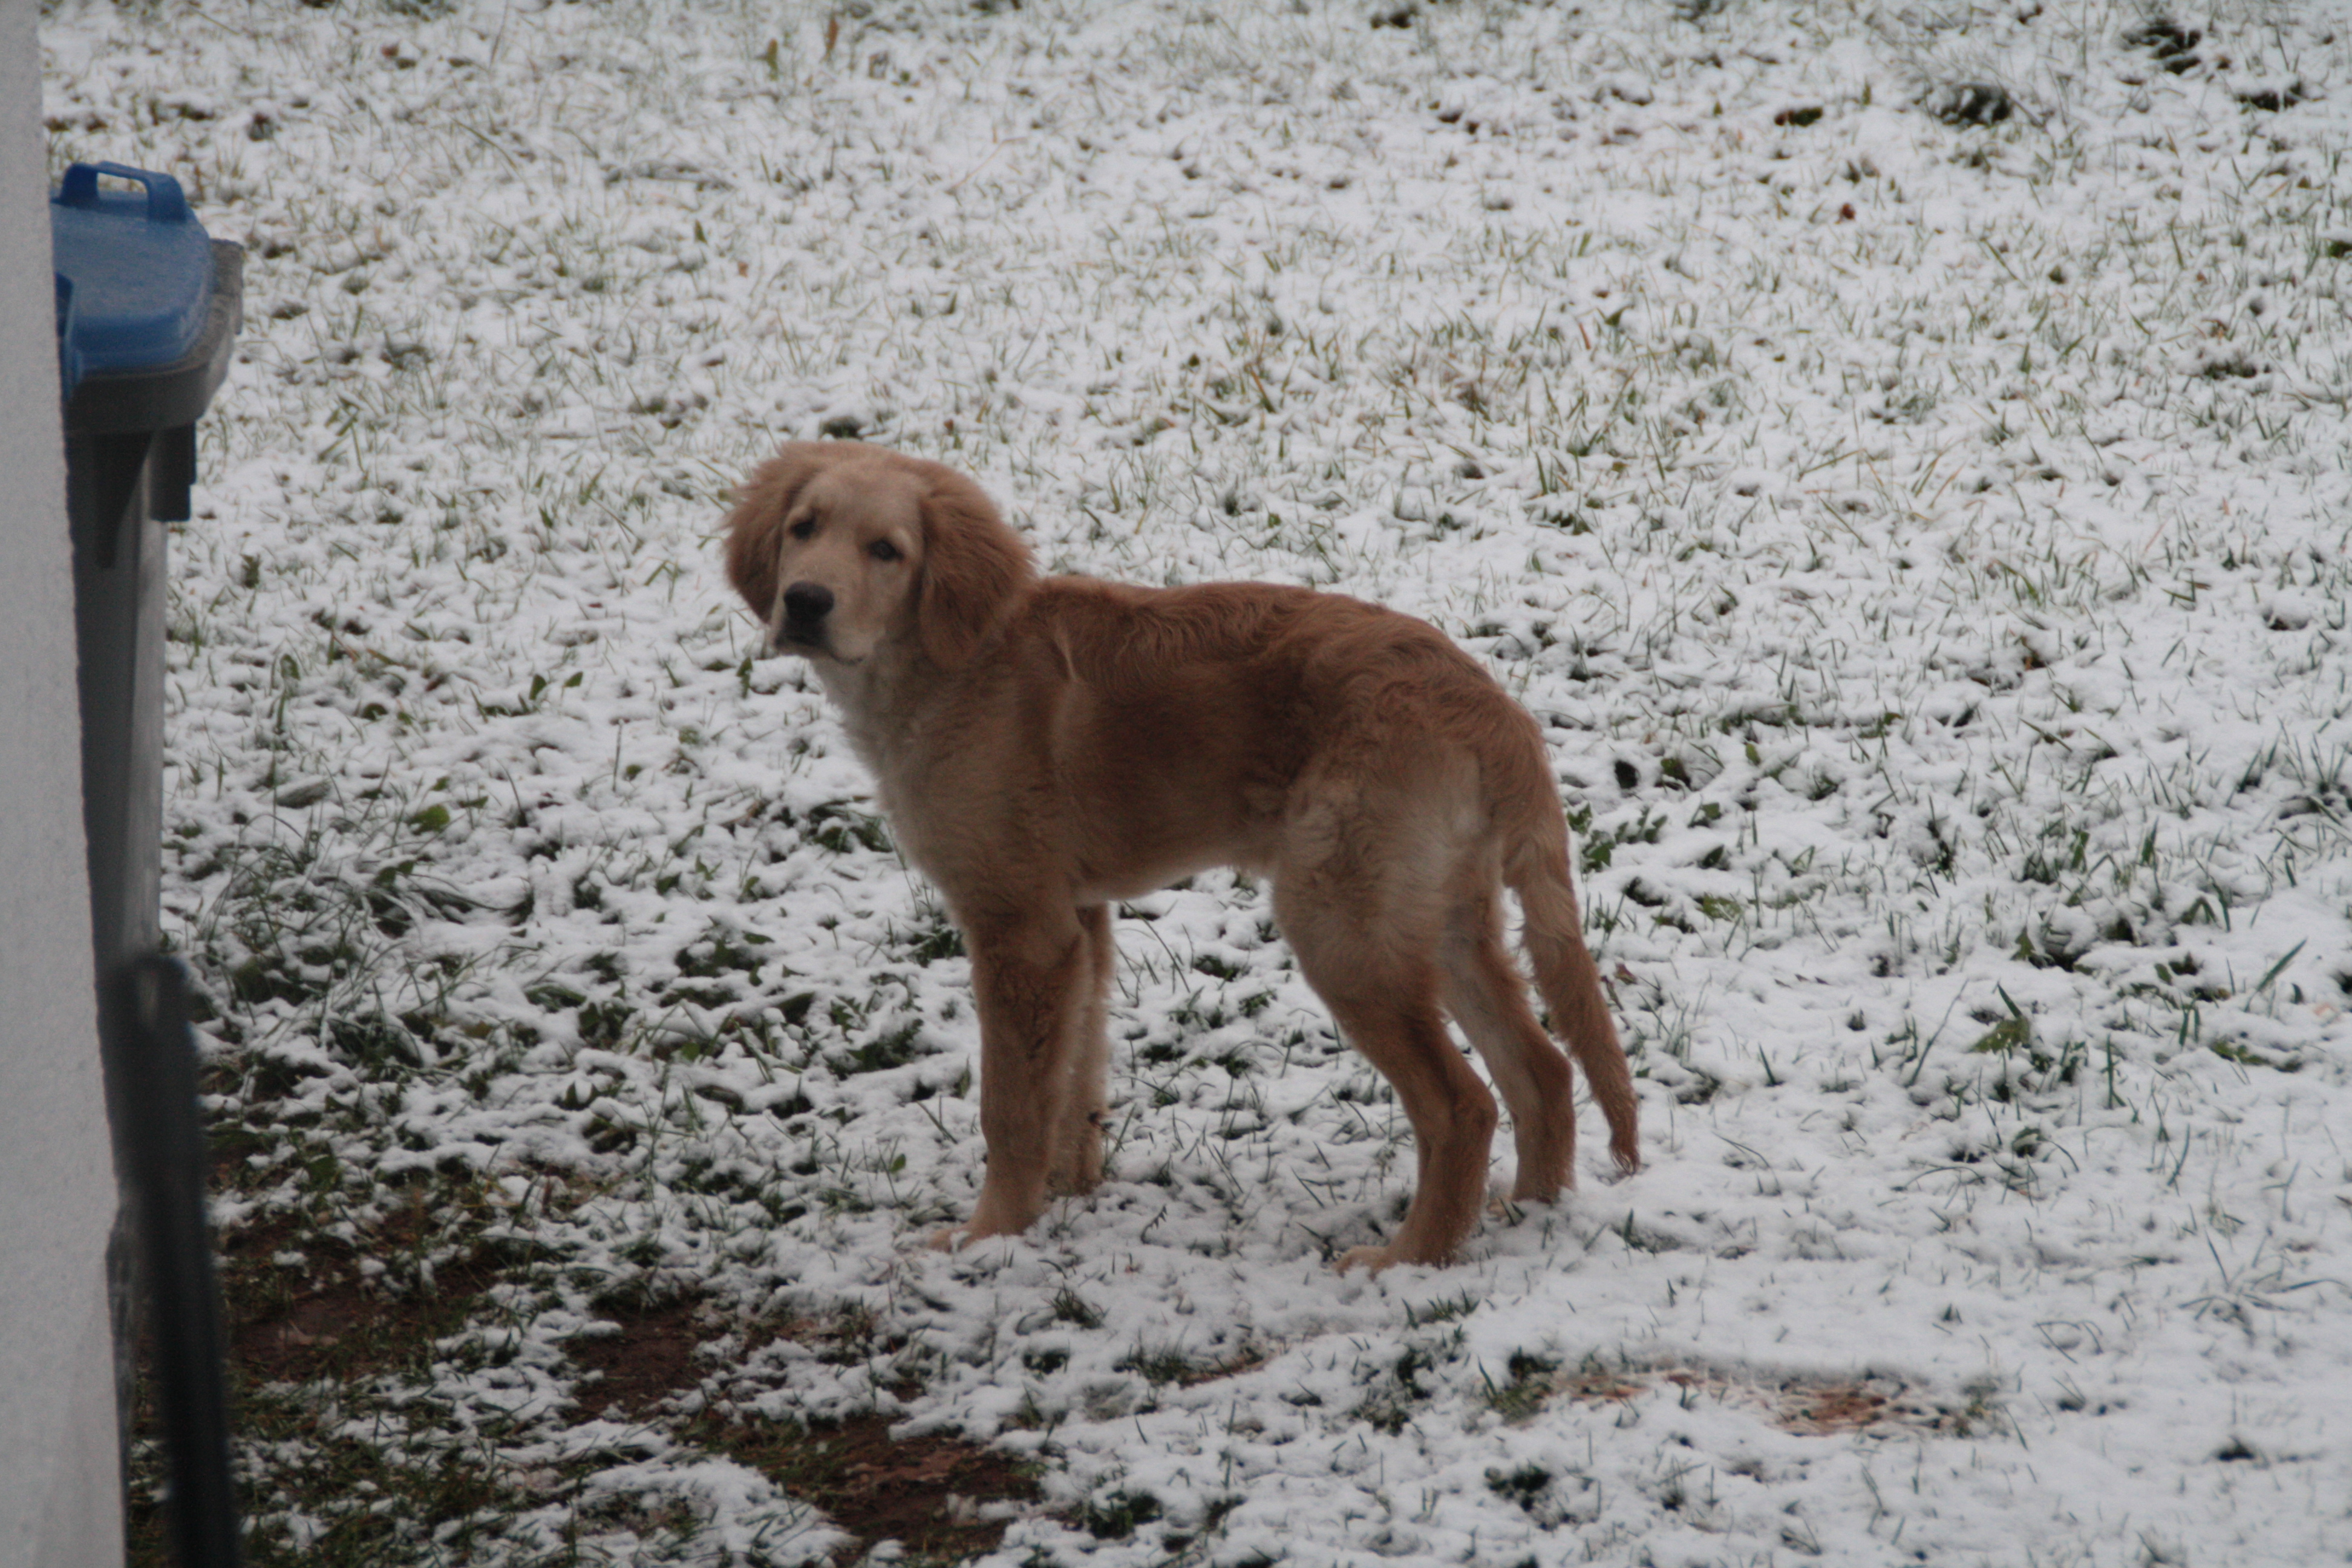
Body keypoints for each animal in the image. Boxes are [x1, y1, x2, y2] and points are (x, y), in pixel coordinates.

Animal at [723, 441, 1638, 1271]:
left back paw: (1409, 1260)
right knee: (1545, 1070)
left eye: (887, 551)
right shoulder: (1078, 922)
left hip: (1343, 922)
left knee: (1463, 1104)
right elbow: (1075, 1079)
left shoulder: (1017, 926)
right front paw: (1065, 1199)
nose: (804, 602)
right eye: (804, 529)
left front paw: (989, 1237)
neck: (955, 661)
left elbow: (1010, 1107)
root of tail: (1492, 710)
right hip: (1438, 913)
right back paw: (1528, 1220)